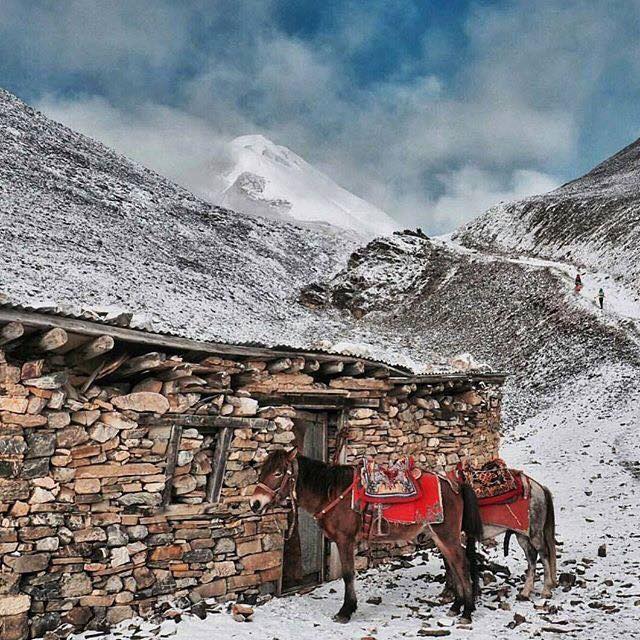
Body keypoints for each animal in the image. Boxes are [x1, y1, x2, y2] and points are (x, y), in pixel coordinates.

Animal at [250, 448, 484, 624]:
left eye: (279, 473)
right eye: (262, 471)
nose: (255, 503)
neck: (332, 492)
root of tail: (455, 485)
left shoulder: (344, 540)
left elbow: (348, 574)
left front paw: (346, 611)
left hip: (447, 535)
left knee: (461, 564)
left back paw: (467, 611)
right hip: (439, 536)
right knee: (453, 564)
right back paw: (456, 606)